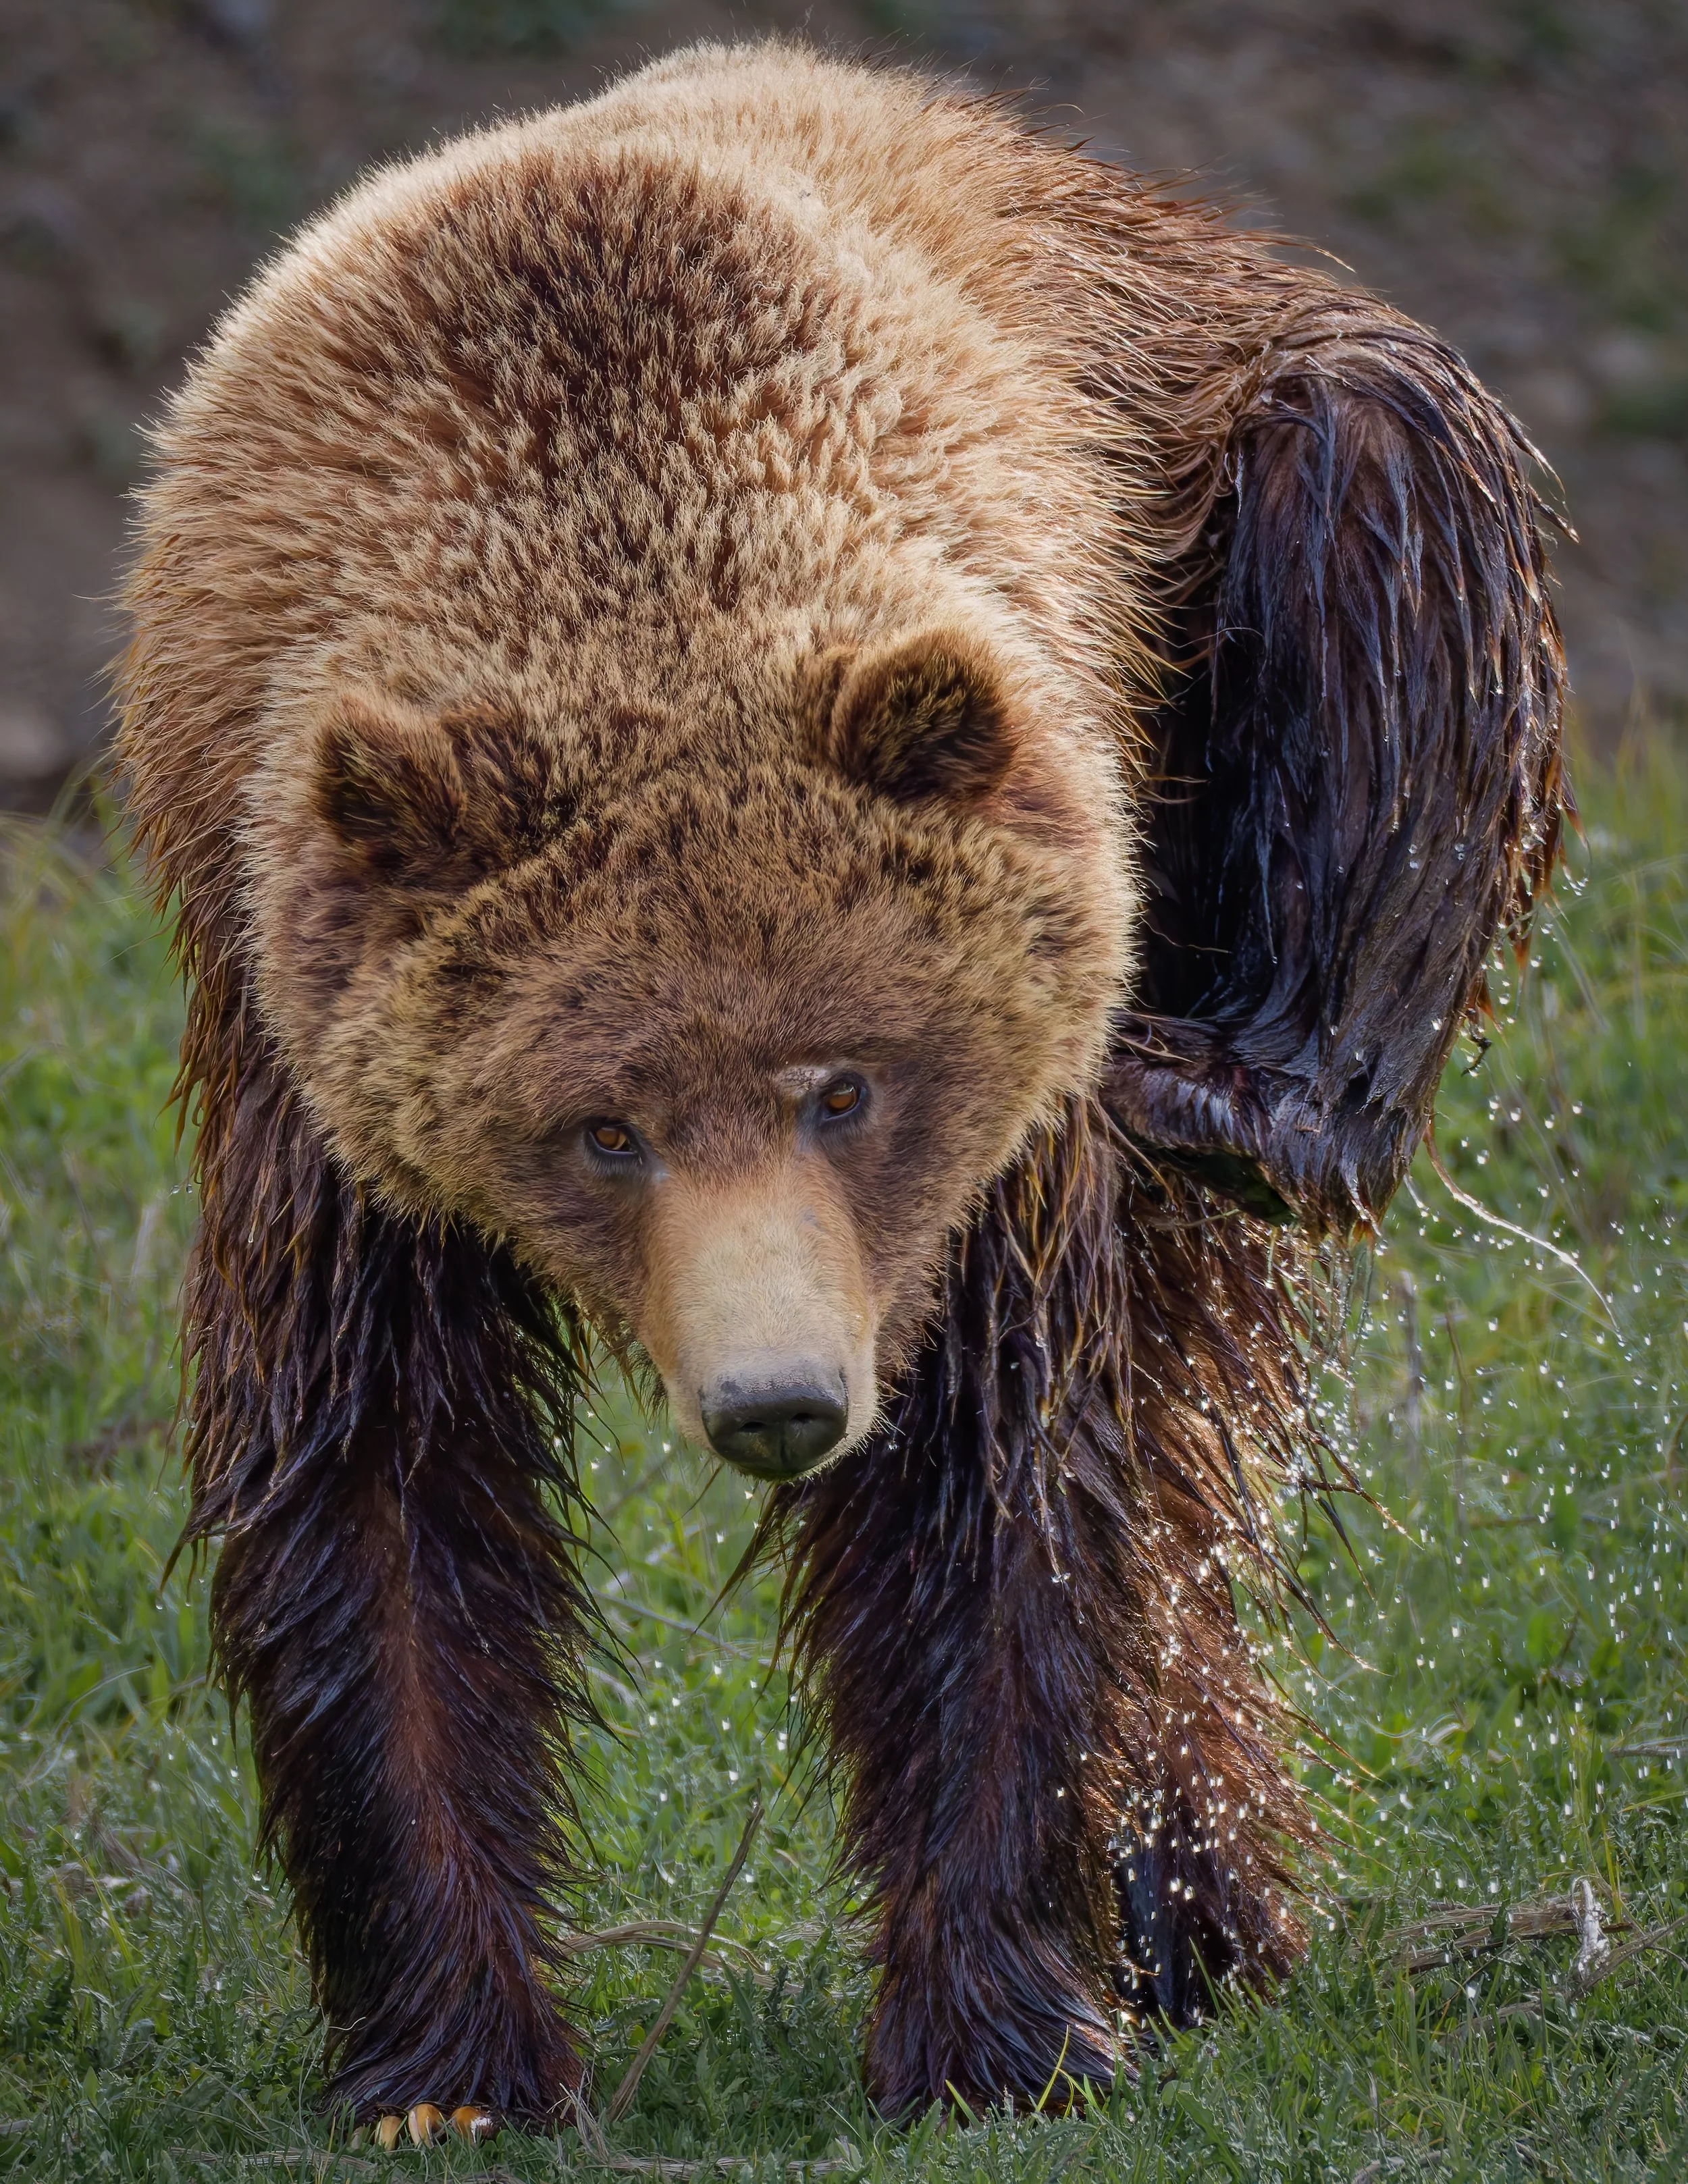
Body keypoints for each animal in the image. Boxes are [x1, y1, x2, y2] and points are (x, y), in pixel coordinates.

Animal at [117, 40, 1565, 2133]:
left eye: (848, 1087)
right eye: (602, 1126)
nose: (781, 1397)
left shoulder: (1007, 1110)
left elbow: (996, 1476)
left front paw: (996, 2027)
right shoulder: (307, 1069)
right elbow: (378, 1484)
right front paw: (453, 2056)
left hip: (1223, 496)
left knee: (1379, 525)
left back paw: (1266, 1101)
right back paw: (1207, 1896)